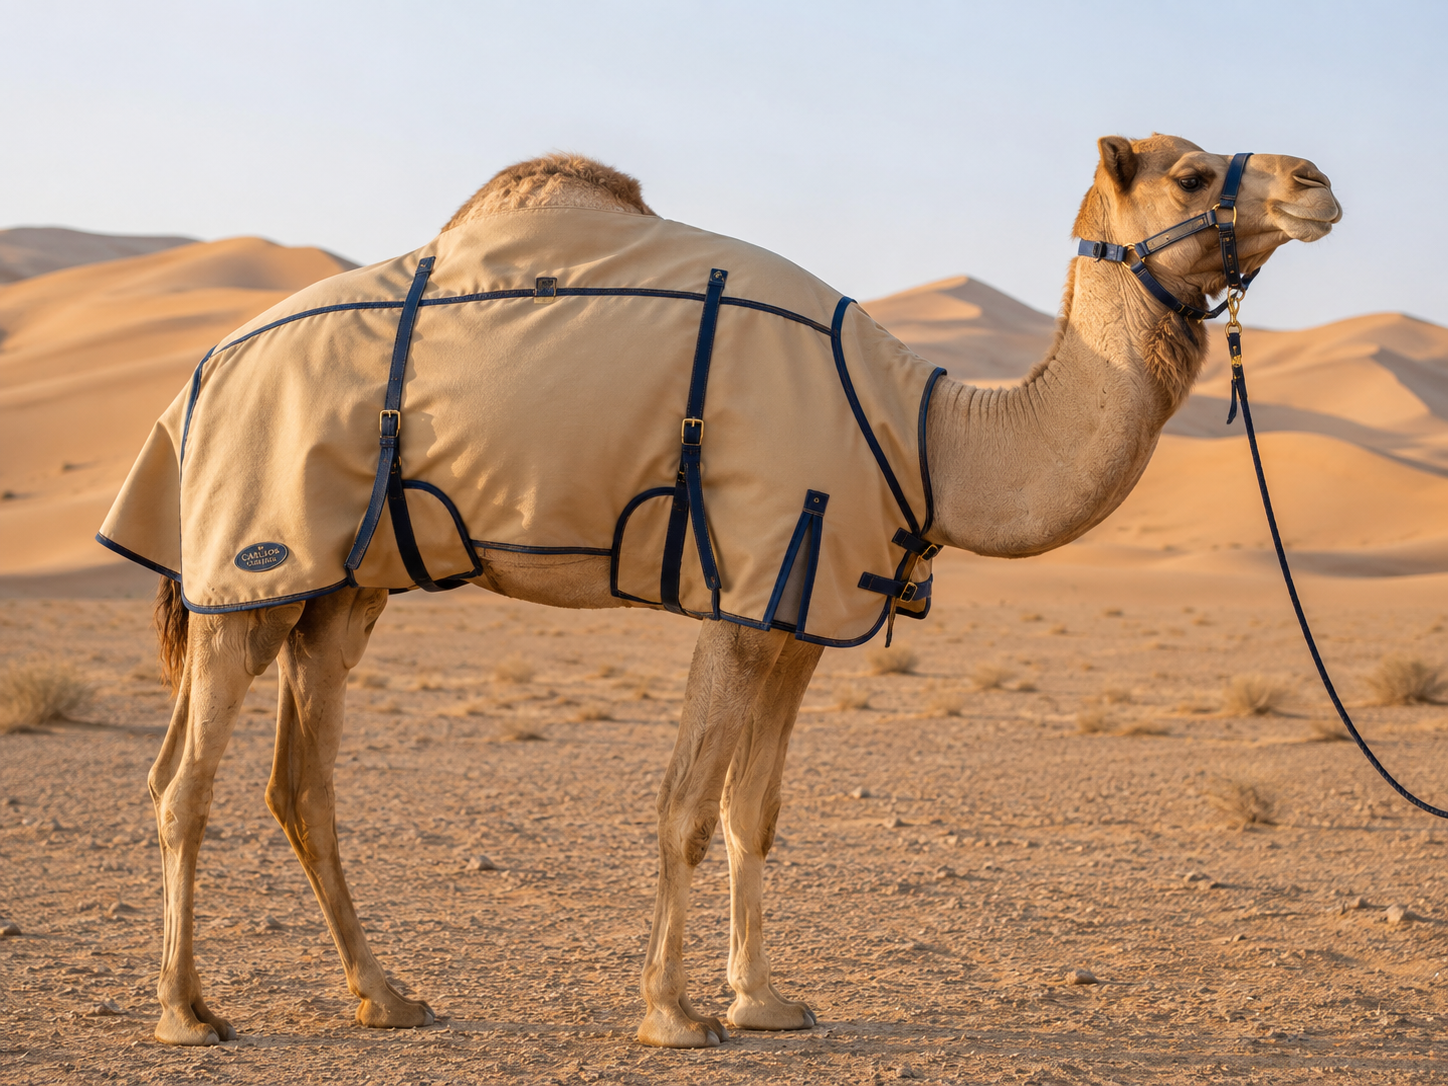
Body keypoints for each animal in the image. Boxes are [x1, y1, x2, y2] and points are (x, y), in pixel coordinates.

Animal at [138, 135, 1340, 1048]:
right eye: (1190, 174)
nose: (1316, 180)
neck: (928, 432)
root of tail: (196, 372)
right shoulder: (741, 594)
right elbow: (681, 805)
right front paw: (672, 1017)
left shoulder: (799, 614)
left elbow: (749, 811)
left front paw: (761, 1000)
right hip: (248, 567)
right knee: (184, 782)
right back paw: (188, 1013)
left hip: (340, 589)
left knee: (300, 783)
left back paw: (386, 997)